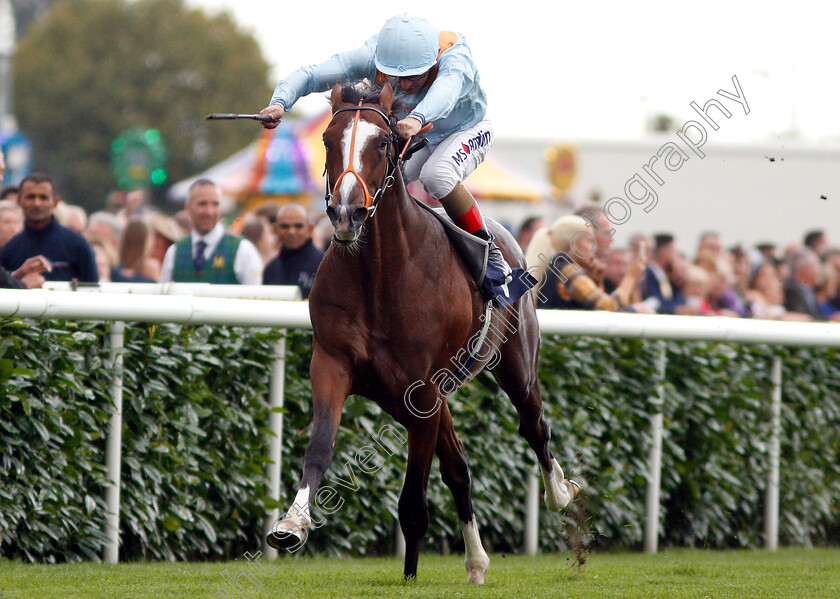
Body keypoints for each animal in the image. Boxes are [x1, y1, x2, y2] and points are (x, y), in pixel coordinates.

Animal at [270, 82, 576, 584]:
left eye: (383, 143)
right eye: (328, 140)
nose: (347, 213)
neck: (380, 273)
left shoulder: (424, 390)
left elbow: (414, 498)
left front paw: (410, 573)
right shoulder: (333, 365)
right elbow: (319, 446)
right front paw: (292, 524)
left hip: (514, 366)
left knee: (534, 425)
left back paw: (560, 494)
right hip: (408, 399)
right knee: (459, 467)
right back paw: (476, 562)